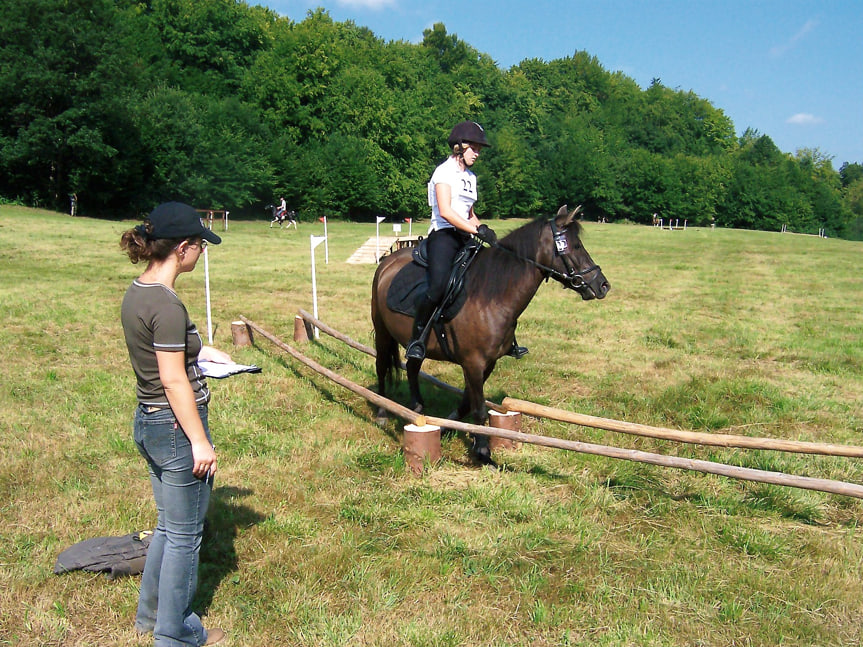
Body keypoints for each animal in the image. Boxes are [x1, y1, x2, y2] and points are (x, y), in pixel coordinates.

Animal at [370, 205, 608, 464]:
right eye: (575, 246)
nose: (602, 285)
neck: (491, 296)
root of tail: (387, 262)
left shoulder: (487, 363)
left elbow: (468, 403)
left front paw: (447, 428)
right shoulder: (473, 362)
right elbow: (479, 409)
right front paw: (483, 453)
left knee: (412, 368)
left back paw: (417, 408)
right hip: (382, 332)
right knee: (381, 366)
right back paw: (382, 411)